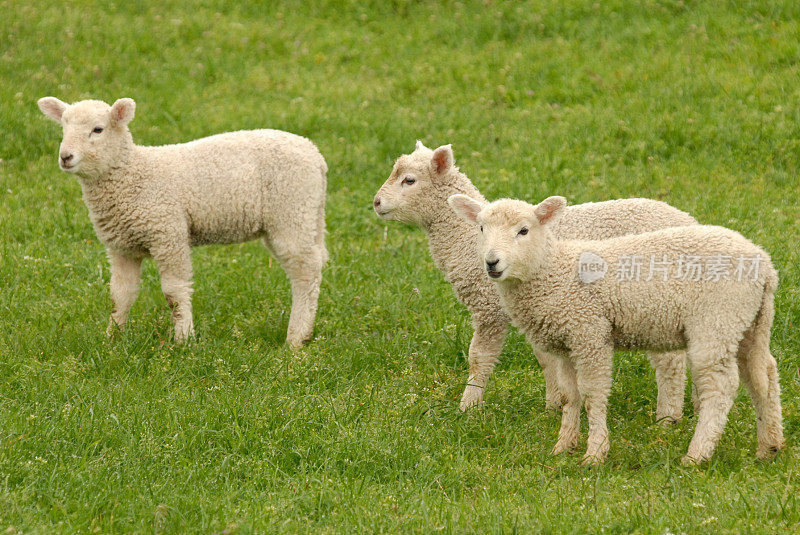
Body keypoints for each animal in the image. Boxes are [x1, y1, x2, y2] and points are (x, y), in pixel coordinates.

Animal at [38, 96, 328, 348]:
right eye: (63, 128)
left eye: (97, 129)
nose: (65, 157)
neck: (133, 174)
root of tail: (316, 155)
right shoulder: (121, 247)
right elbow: (120, 294)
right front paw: (112, 337)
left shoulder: (168, 234)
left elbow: (174, 293)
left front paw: (183, 339)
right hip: (309, 216)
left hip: (291, 213)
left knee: (306, 274)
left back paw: (295, 339)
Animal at [374, 143, 692, 422]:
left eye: (409, 180)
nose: (376, 203)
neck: (463, 237)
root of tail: (689, 220)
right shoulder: (534, 307)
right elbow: (545, 359)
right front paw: (555, 404)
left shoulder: (489, 308)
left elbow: (479, 358)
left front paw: (468, 407)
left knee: (670, 362)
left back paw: (667, 418)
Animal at [450, 194, 788, 464]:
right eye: (481, 229)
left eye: (523, 230)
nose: (491, 262)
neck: (554, 272)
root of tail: (766, 266)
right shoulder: (566, 343)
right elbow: (570, 396)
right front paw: (563, 447)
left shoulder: (589, 331)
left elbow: (592, 393)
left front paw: (595, 453)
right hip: (748, 321)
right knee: (764, 375)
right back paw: (769, 446)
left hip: (716, 319)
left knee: (721, 386)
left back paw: (697, 454)